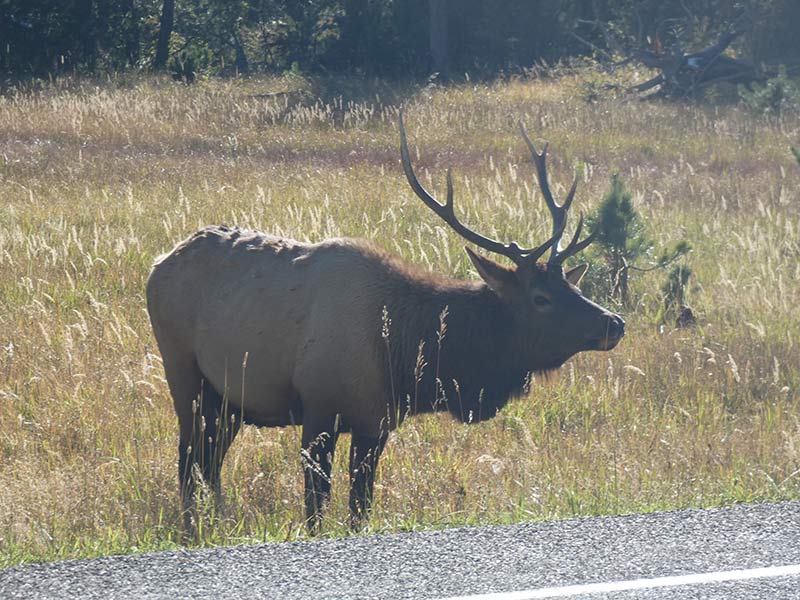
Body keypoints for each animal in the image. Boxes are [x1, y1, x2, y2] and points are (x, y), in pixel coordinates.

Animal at [147, 115, 628, 532]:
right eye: (540, 299)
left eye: (570, 284)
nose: (614, 322)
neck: (403, 351)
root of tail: (158, 263)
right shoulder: (319, 408)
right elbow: (316, 506)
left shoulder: (376, 422)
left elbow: (361, 504)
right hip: (185, 375)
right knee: (189, 462)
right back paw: (195, 529)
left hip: (228, 400)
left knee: (209, 464)